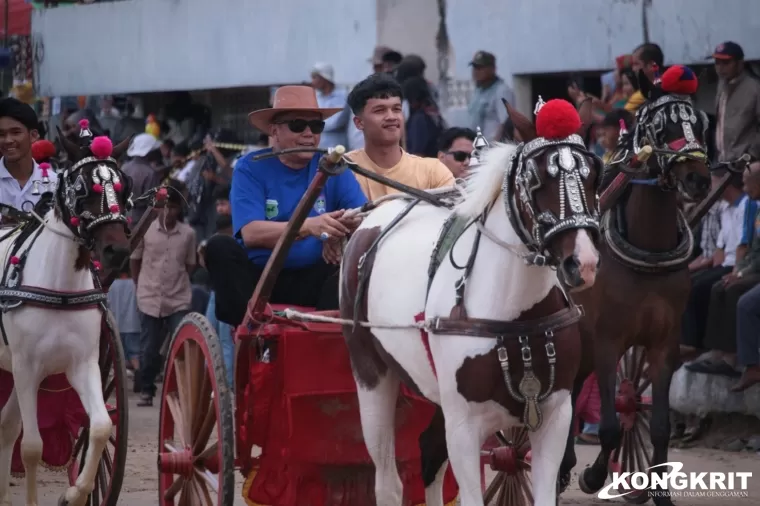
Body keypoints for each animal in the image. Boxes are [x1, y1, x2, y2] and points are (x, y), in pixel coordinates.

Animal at [0, 130, 131, 506]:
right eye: (83, 189)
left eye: (124, 188)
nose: (117, 250)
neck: (59, 287)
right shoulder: (27, 367)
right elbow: (31, 447)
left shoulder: (82, 364)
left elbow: (100, 427)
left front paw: (75, 492)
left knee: (6, 426)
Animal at [342, 99, 604, 506]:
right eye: (536, 180)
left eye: (594, 177)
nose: (583, 263)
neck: (516, 319)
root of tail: (374, 216)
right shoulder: (464, 426)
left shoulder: (556, 416)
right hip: (371, 373)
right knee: (388, 480)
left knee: (429, 456)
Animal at [560, 70, 712, 502]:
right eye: (661, 127)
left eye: (701, 123)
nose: (697, 180)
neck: (649, 252)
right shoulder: (608, 340)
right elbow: (610, 425)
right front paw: (594, 475)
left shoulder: (664, 344)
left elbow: (657, 425)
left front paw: (658, 491)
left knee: (571, 394)